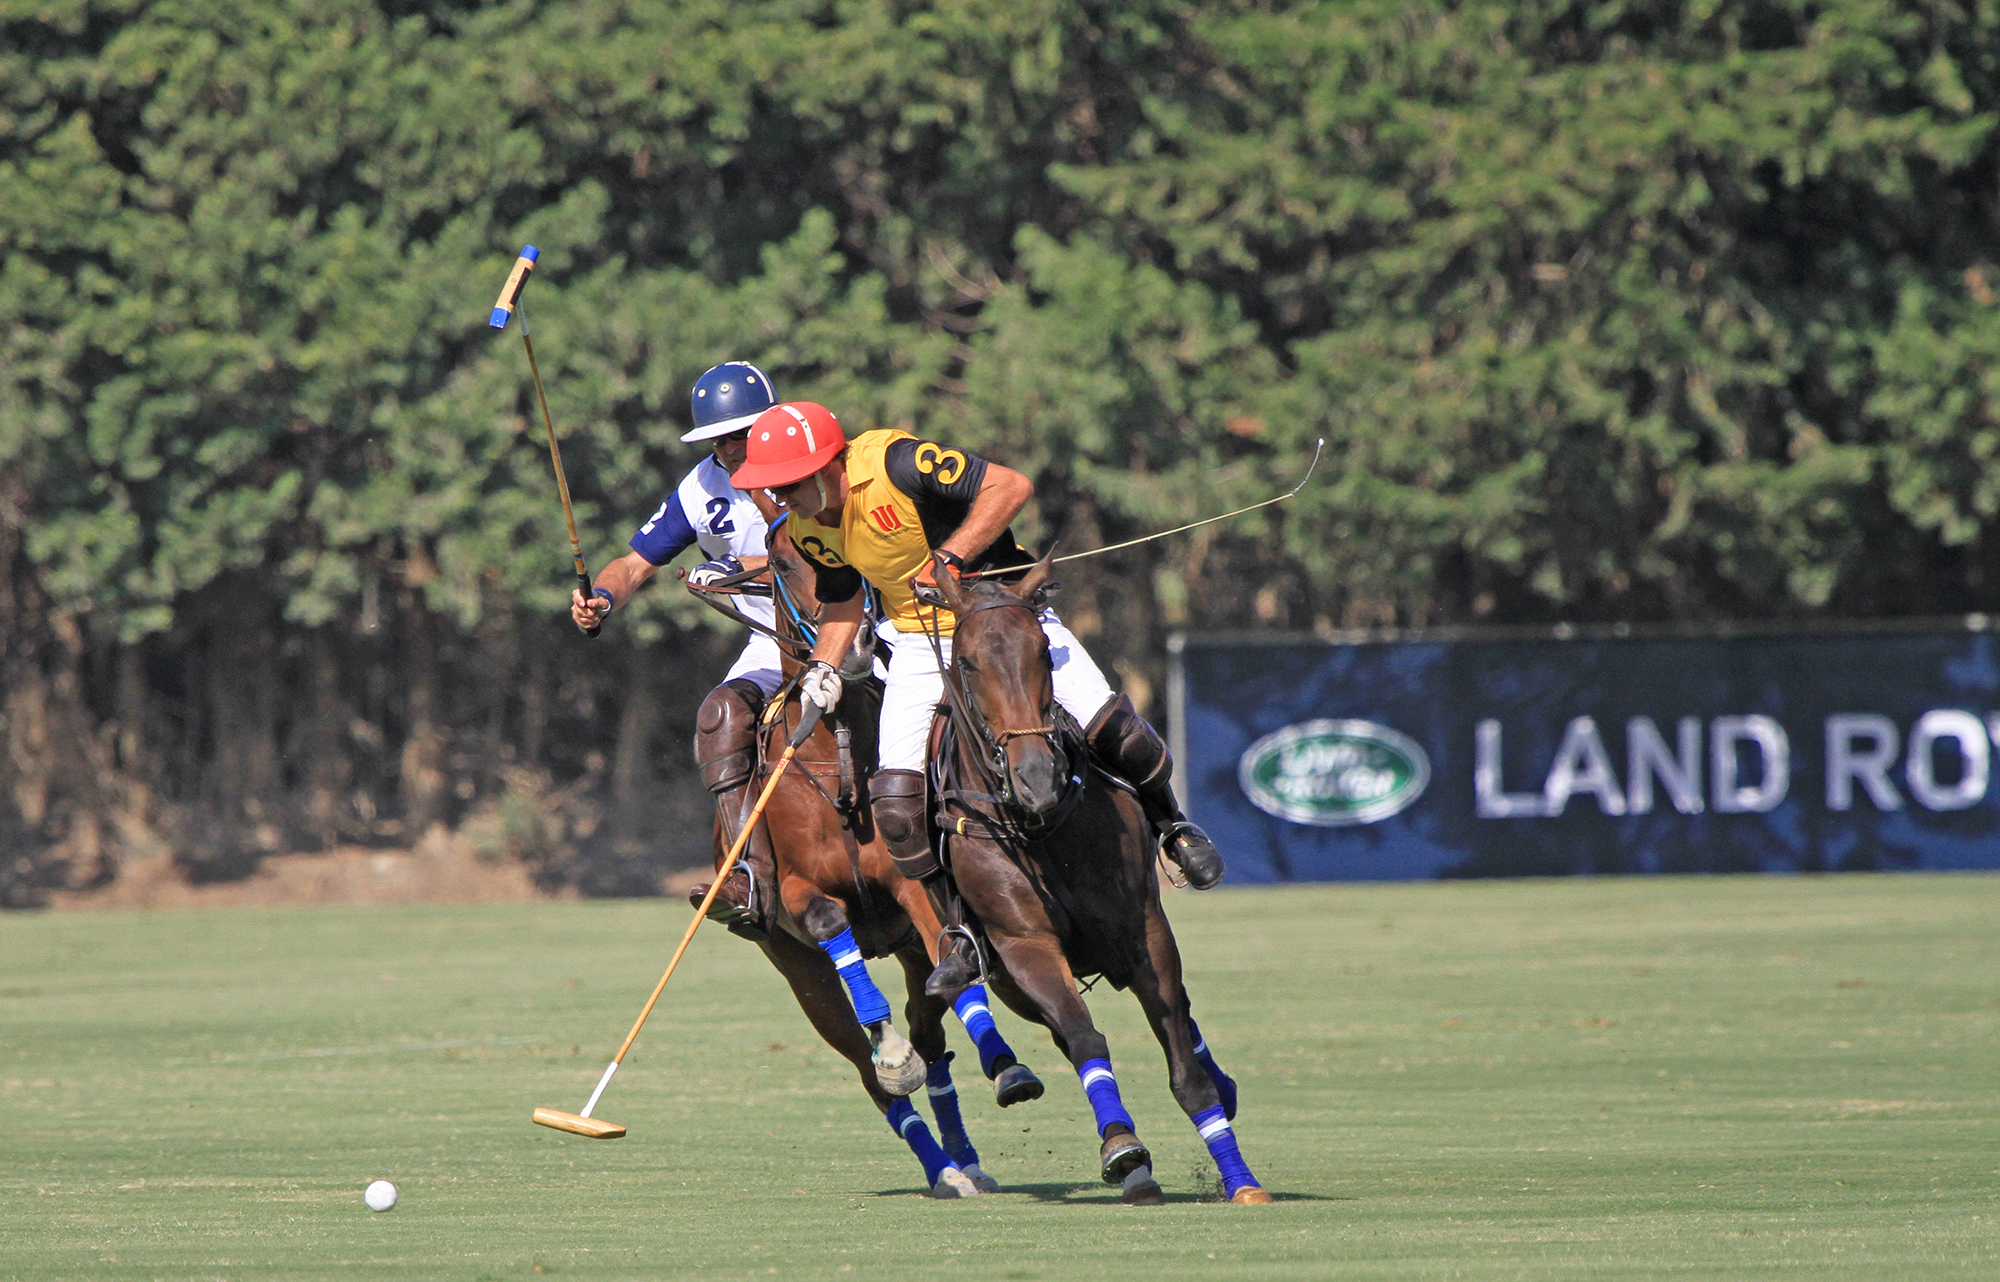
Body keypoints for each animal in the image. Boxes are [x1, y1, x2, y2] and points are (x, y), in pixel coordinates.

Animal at [686, 524, 1044, 1198]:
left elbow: (948, 961)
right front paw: (893, 1054)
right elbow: (829, 922)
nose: (850, 644)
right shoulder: (795, 894)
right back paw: (936, 1158)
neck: (835, 751)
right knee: (864, 1065)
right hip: (797, 968)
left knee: (934, 1037)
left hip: (902, 950)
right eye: (779, 563)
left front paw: (1006, 1068)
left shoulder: (911, 885)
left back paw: (966, 1158)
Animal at [923, 552, 1272, 1205]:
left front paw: (1241, 1181)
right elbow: (1085, 1040)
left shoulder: (1144, 932)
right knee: (1067, 1032)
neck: (1040, 828)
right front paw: (1123, 1147)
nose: (1038, 778)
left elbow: (1185, 1069)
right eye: (968, 662)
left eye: (1043, 651)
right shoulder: (1026, 947)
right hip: (1008, 978)